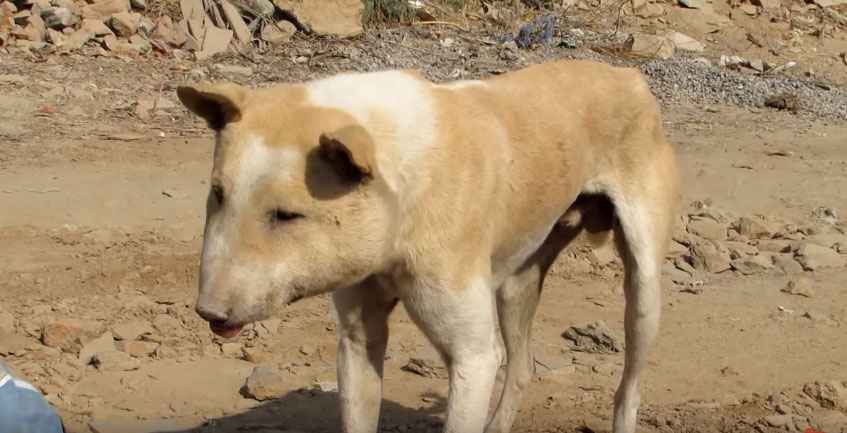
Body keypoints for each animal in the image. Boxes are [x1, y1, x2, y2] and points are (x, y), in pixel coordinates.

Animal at [179, 60, 684, 432]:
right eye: (217, 194)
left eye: (287, 215)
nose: (209, 312)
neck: (405, 182)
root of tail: (627, 73)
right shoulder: (358, 340)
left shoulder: (473, 357)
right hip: (518, 283)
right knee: (523, 366)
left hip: (643, 294)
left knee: (628, 390)